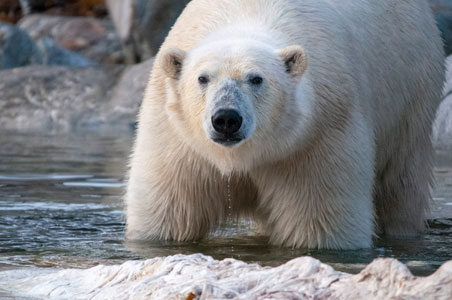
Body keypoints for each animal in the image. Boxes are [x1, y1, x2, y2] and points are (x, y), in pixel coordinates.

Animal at [125, 0, 444, 248]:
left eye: (256, 79)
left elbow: (319, 223)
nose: (227, 119)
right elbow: (169, 209)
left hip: (411, 94)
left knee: (400, 183)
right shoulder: (177, 138)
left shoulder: (317, 135)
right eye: (203, 78)